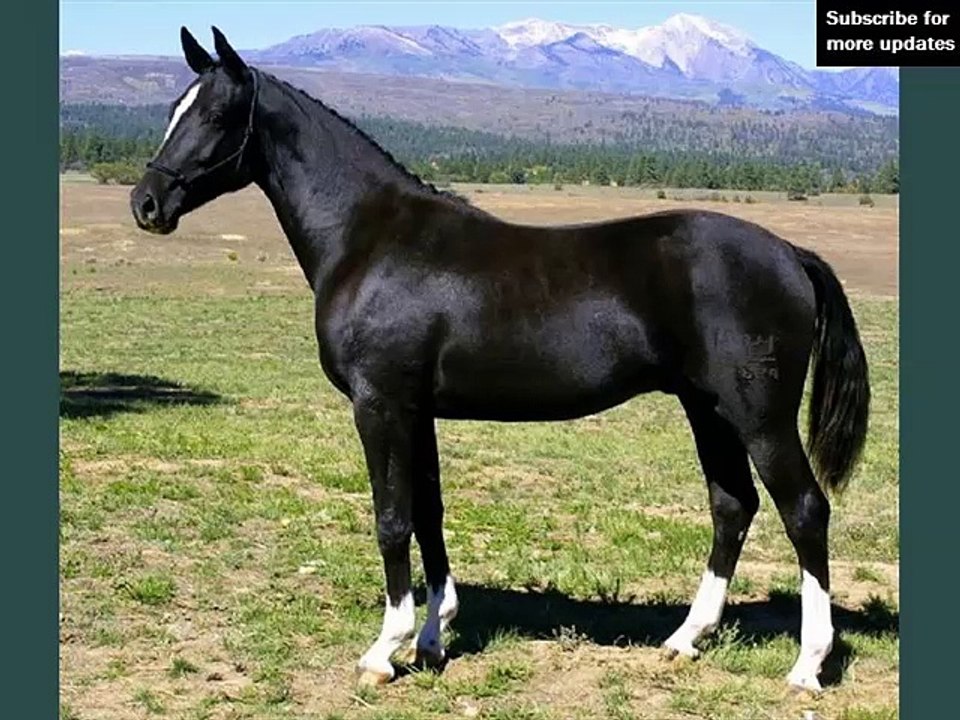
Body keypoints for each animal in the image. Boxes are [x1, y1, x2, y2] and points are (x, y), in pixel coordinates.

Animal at [130, 27, 870, 692]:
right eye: (171, 108)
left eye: (215, 114)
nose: (147, 203)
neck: (372, 238)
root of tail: (789, 253)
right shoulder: (417, 410)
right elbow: (428, 512)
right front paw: (432, 639)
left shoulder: (379, 404)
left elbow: (391, 517)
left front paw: (384, 651)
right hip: (706, 408)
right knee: (732, 504)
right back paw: (686, 639)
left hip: (759, 416)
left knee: (804, 510)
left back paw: (807, 666)